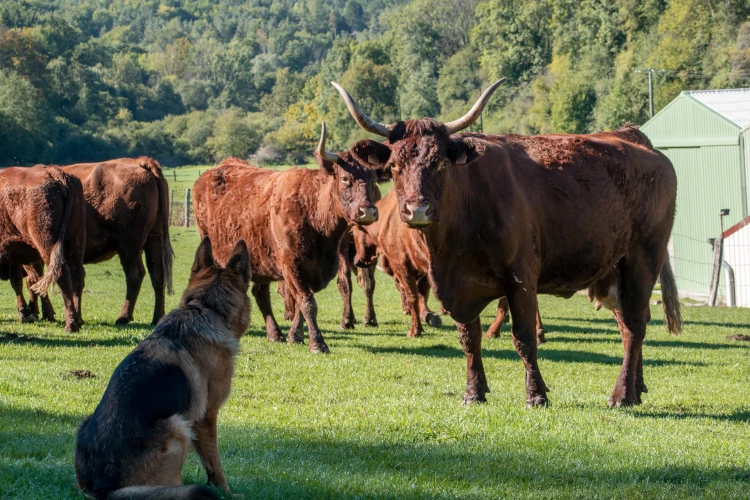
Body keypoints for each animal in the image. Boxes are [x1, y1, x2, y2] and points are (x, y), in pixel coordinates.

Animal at [0, 165, 85, 332]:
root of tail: (52, 171)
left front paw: (27, 313)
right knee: (76, 275)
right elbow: (22, 281)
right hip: (74, 242)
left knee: (62, 274)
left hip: (46, 244)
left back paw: (70, 324)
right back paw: (77, 320)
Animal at [76, 238, 253, 500]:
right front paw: (226, 492)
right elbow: (215, 463)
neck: (205, 308)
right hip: (177, 426)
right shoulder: (206, 417)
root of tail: (102, 488)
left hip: (85, 423)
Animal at [191, 123, 390, 354]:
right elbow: (307, 303)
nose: (368, 212)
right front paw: (317, 343)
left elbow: (300, 303)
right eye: (345, 179)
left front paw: (295, 336)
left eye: (373, 180)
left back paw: (275, 333)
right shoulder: (291, 265)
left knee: (261, 294)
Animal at [334, 81, 680, 406]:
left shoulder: (521, 276)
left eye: (441, 164)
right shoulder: (458, 287)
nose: (417, 210)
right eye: (395, 166)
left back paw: (621, 395)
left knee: (634, 325)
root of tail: (634, 137)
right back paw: (636, 387)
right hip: (612, 270)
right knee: (629, 322)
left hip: (643, 259)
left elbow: (524, 338)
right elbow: (469, 338)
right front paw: (474, 392)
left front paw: (536, 395)